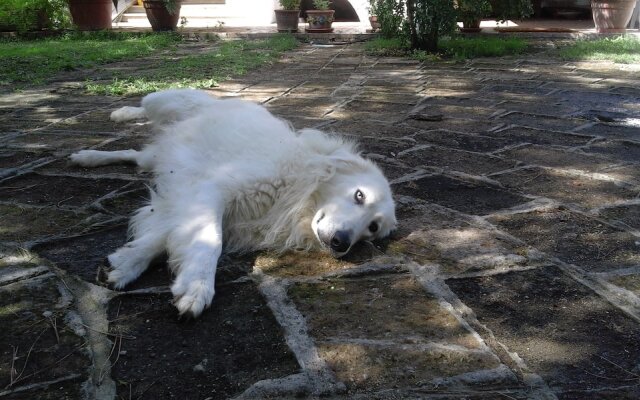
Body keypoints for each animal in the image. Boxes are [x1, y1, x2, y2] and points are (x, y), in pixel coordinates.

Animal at [70, 89, 396, 318]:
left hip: (156, 157)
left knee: (133, 156)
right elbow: (208, 240)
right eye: (359, 195)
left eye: (372, 228)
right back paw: (120, 113)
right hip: (164, 101)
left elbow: (166, 235)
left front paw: (125, 264)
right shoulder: (214, 189)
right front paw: (198, 287)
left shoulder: (197, 198)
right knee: (143, 106)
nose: (342, 243)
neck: (296, 187)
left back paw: (88, 157)